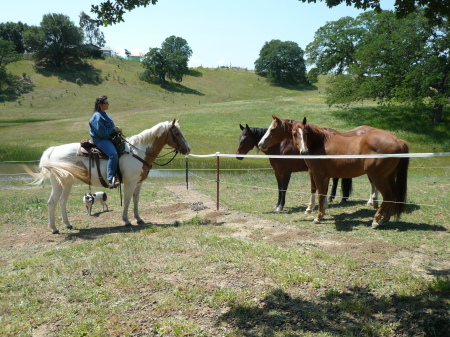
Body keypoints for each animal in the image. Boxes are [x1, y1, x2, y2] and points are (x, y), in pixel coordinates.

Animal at [25, 119, 190, 232]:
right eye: (177, 133)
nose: (188, 149)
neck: (138, 151)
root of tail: (52, 150)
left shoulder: (138, 182)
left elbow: (136, 200)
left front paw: (138, 219)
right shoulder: (130, 182)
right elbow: (128, 200)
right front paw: (126, 220)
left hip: (67, 183)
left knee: (62, 201)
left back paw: (67, 224)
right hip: (58, 183)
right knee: (52, 202)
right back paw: (54, 228)